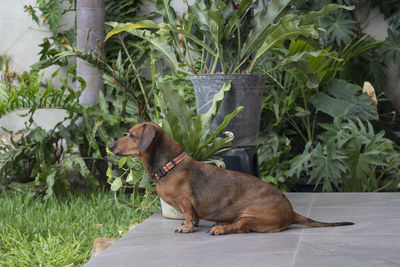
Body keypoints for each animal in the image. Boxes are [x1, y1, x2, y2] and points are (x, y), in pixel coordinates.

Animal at [109, 122, 354, 236]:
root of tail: (291, 212)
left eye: (131, 135)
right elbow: (193, 217)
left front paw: (187, 227)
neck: (169, 165)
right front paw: (192, 225)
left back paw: (220, 229)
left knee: (242, 227)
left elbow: (188, 214)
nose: (110, 146)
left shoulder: (186, 202)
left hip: (252, 212)